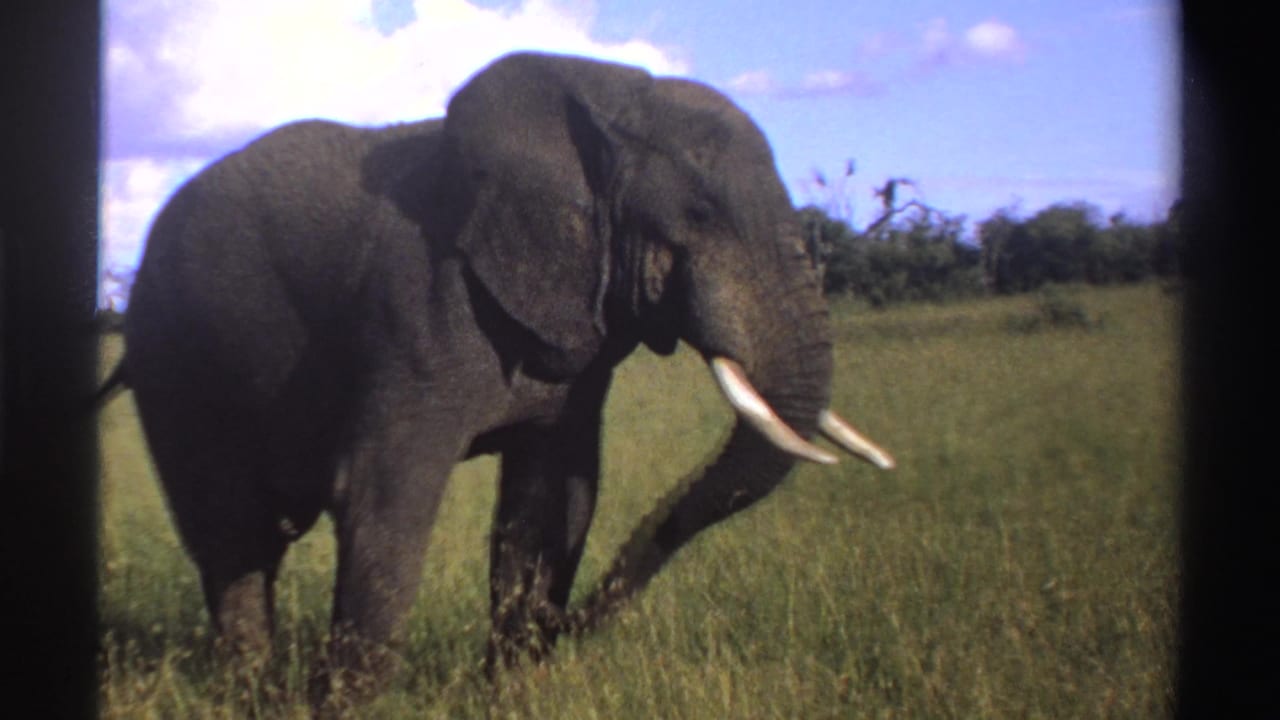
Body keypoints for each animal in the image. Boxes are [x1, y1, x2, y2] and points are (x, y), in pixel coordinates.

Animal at [99, 51, 895, 711]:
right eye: (698, 214)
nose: (562, 624)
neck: (603, 103)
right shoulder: (413, 306)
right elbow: (385, 499)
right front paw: (342, 707)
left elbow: (554, 502)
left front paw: (511, 694)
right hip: (175, 354)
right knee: (230, 533)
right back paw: (251, 694)